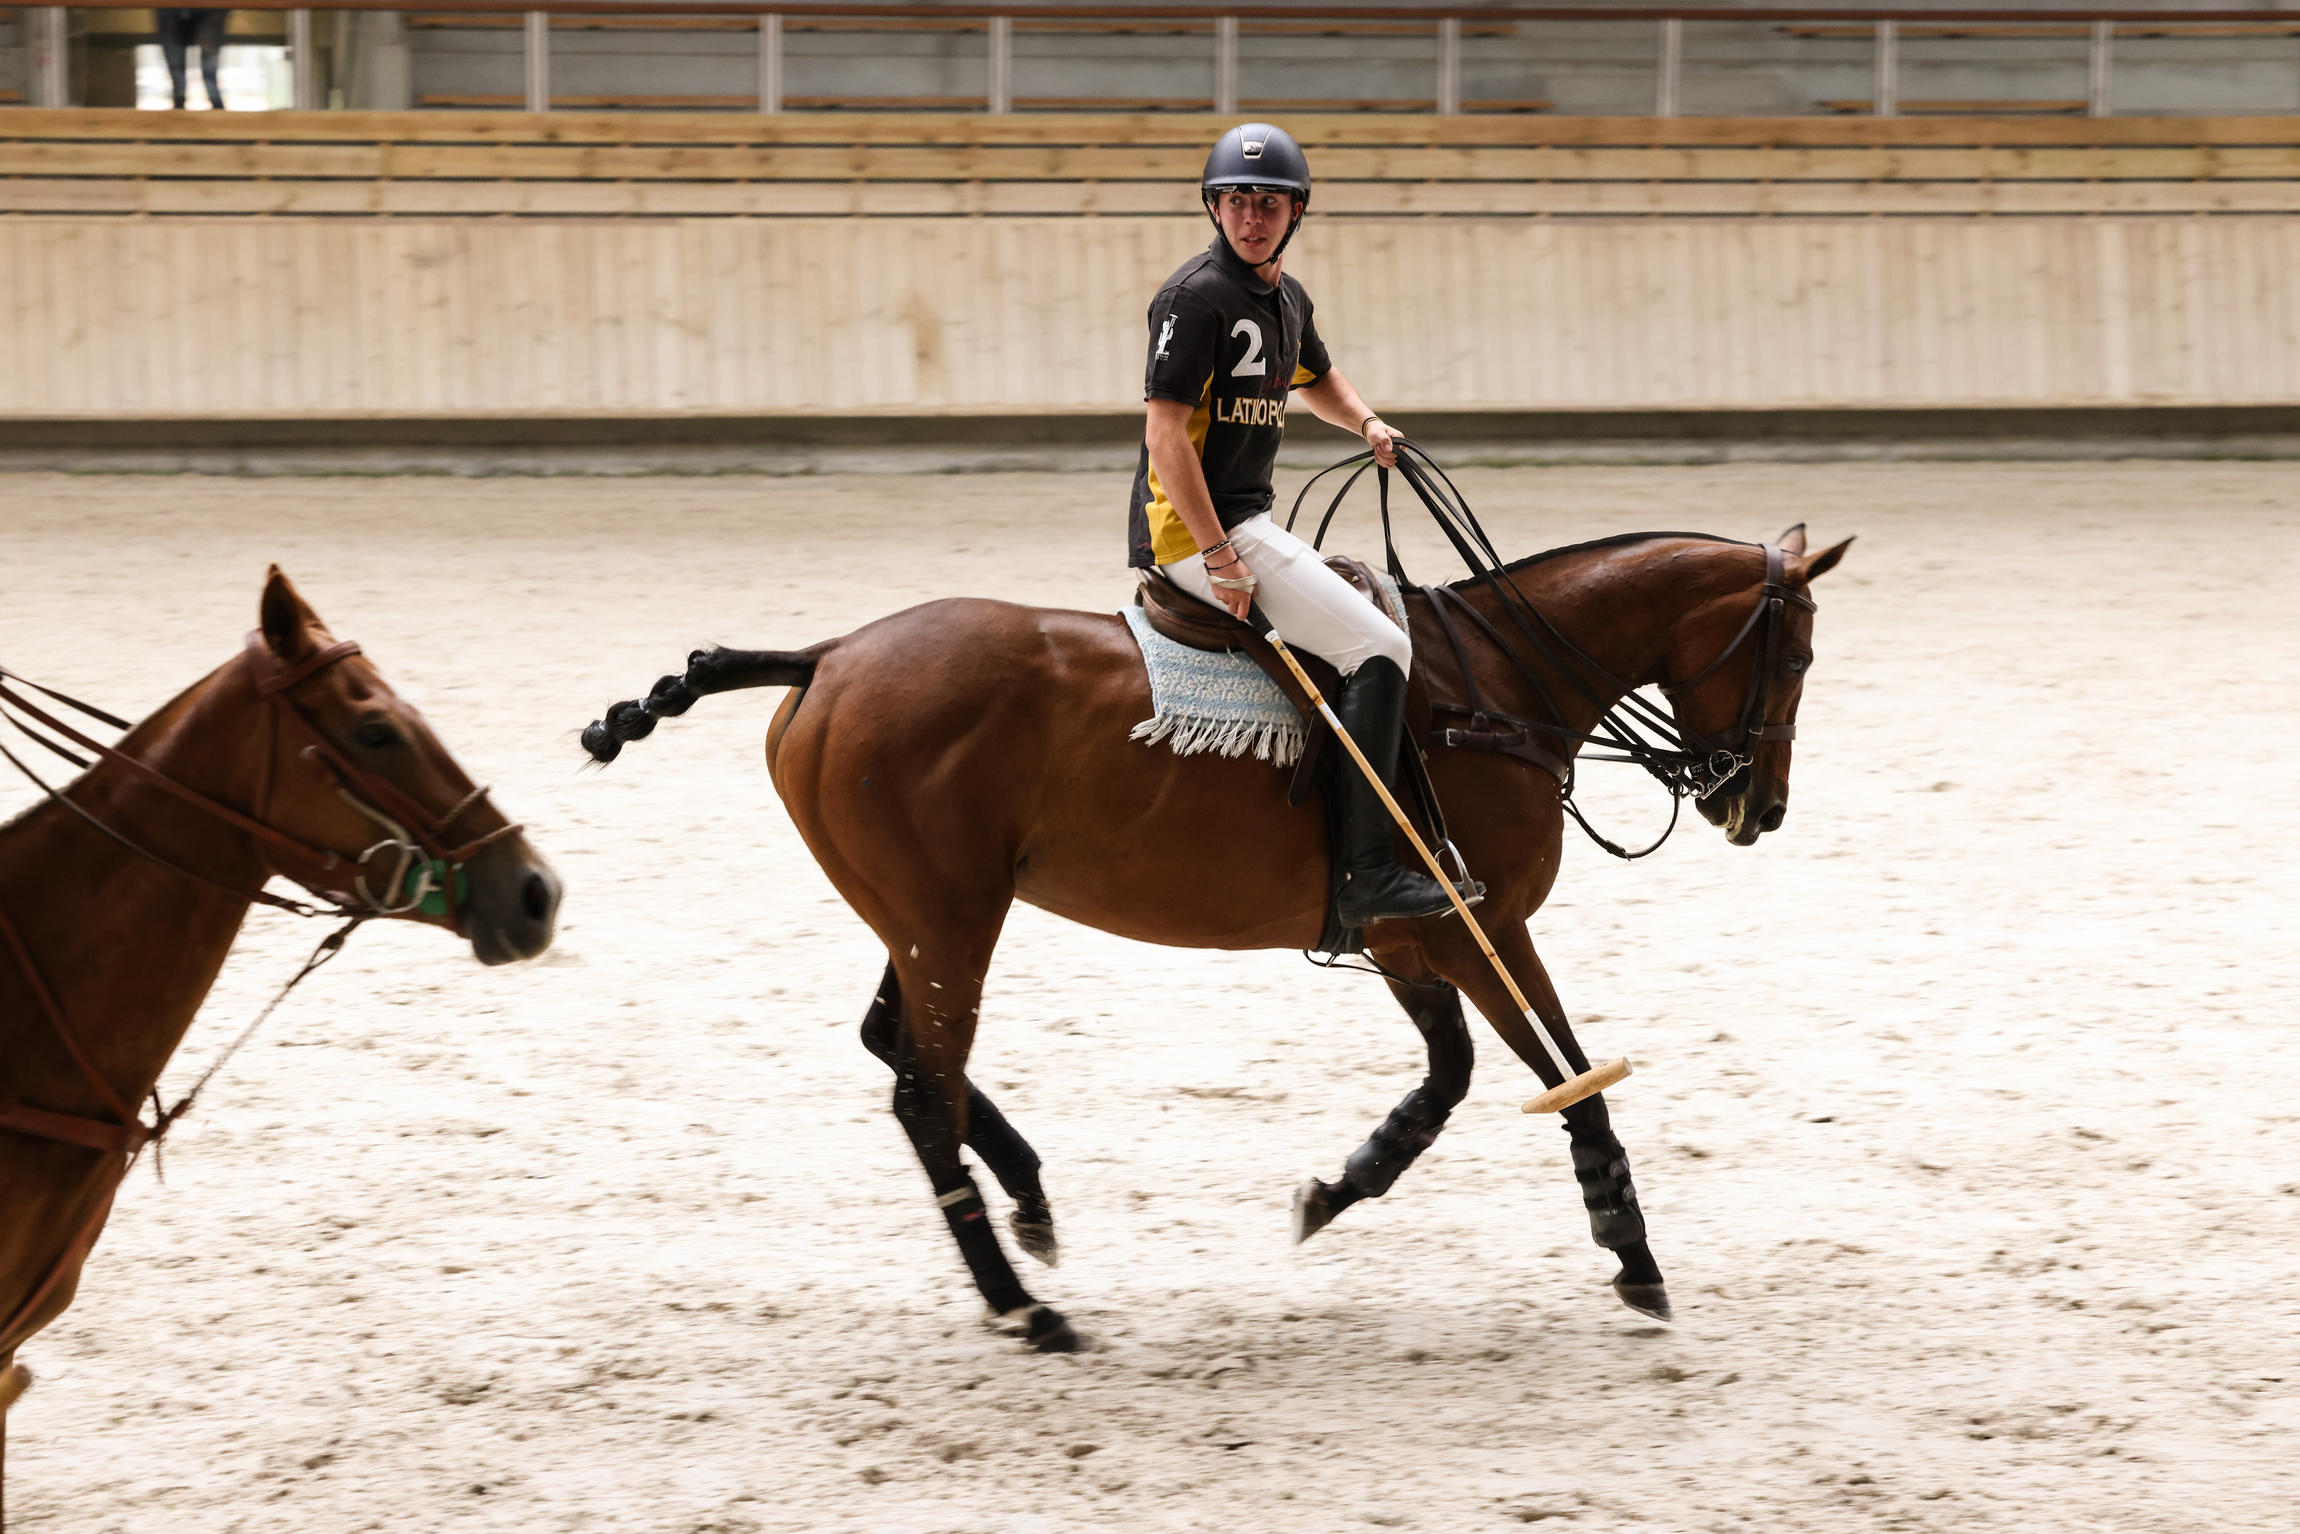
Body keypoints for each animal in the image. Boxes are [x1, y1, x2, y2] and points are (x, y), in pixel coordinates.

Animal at [579, 522, 1849, 1352]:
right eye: (1793, 656)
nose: (1760, 806)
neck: (1492, 686)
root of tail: (829, 656)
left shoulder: (1403, 938)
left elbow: (1444, 1079)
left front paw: (1334, 1188)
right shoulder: (1478, 920)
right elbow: (1567, 1075)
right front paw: (1630, 1252)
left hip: (922, 916)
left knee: (893, 1047)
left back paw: (1030, 1201)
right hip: (950, 920)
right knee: (920, 1087)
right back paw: (1024, 1306)